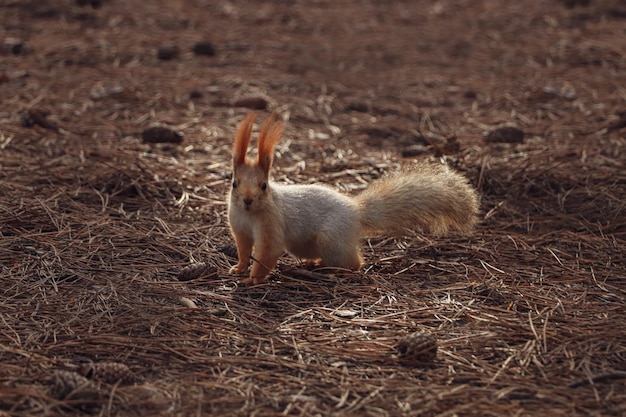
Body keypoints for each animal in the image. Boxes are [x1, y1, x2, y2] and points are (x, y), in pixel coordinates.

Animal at [228, 112, 478, 284]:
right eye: (234, 183)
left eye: (264, 186)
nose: (247, 201)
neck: (250, 215)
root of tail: (355, 210)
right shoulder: (239, 229)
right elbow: (243, 250)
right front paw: (239, 268)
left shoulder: (272, 226)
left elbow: (267, 254)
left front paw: (253, 279)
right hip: (305, 244)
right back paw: (313, 263)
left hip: (331, 238)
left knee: (354, 263)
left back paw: (332, 269)